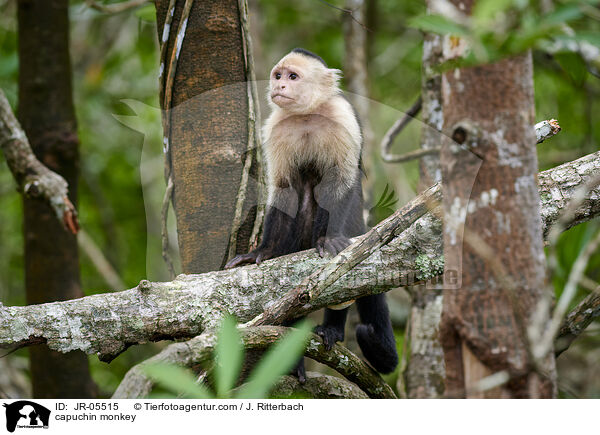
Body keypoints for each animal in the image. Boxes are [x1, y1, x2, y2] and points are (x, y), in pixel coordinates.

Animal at [225, 48, 398, 382]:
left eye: (293, 77)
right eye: (278, 76)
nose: (279, 86)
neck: (306, 114)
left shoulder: (342, 116)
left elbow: (341, 181)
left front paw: (328, 240)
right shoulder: (276, 127)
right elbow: (284, 191)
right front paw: (262, 251)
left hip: (356, 224)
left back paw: (333, 329)